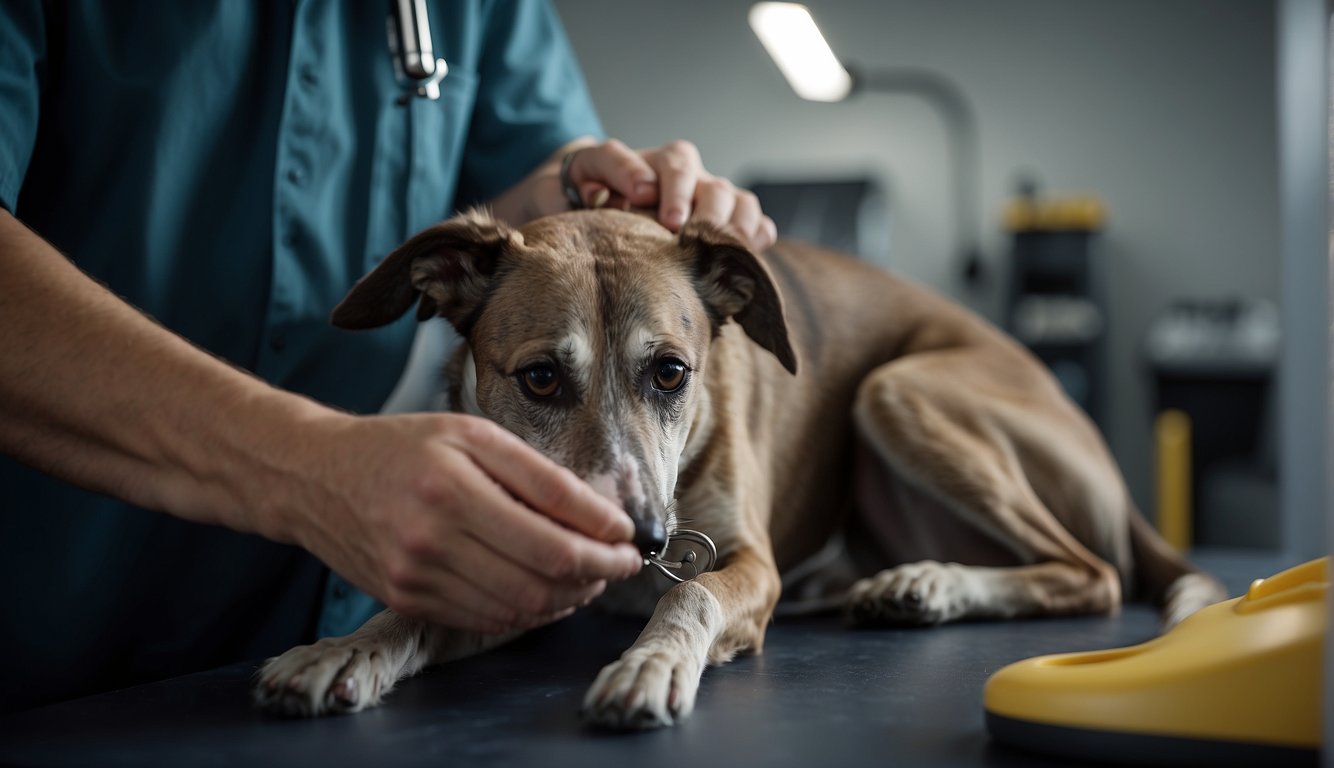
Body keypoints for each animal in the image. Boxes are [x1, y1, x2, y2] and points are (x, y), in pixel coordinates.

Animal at [252, 206, 1227, 730]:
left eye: (670, 372)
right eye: (539, 378)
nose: (645, 541)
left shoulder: (742, 560)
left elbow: (695, 596)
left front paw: (649, 664)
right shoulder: (505, 562)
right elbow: (411, 609)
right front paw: (342, 649)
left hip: (899, 389)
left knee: (1091, 573)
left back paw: (932, 583)